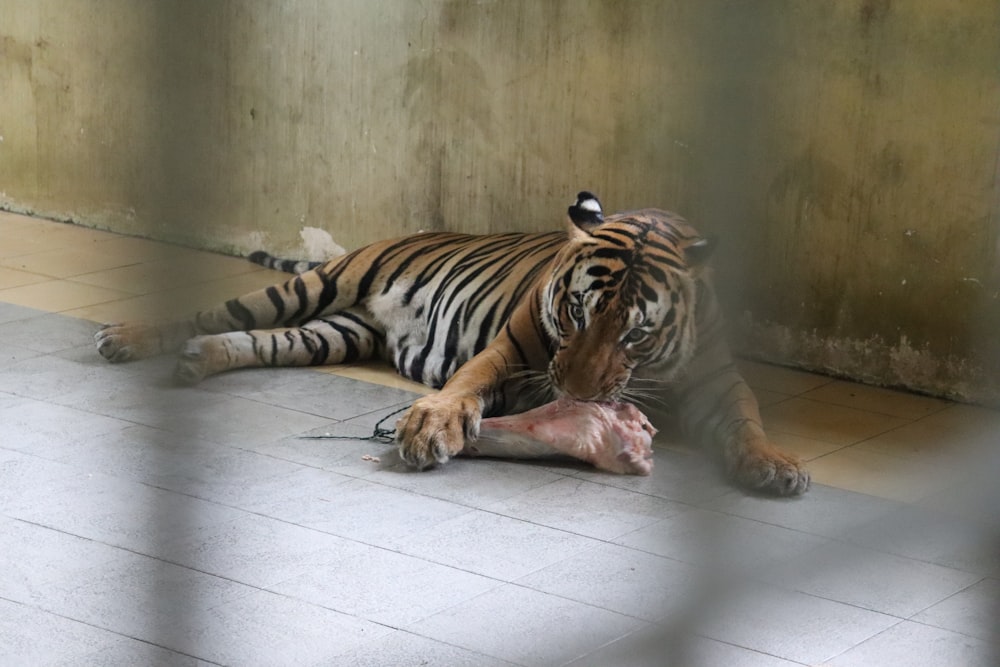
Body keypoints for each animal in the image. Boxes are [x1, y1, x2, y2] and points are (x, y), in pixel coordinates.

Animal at [95, 193, 812, 496]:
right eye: (576, 310)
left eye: (635, 331)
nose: (579, 396)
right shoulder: (513, 349)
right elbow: (466, 382)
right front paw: (432, 424)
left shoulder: (717, 380)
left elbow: (747, 423)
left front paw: (776, 465)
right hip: (316, 286)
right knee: (213, 310)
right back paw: (127, 338)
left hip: (334, 332)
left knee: (258, 341)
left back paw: (198, 359)